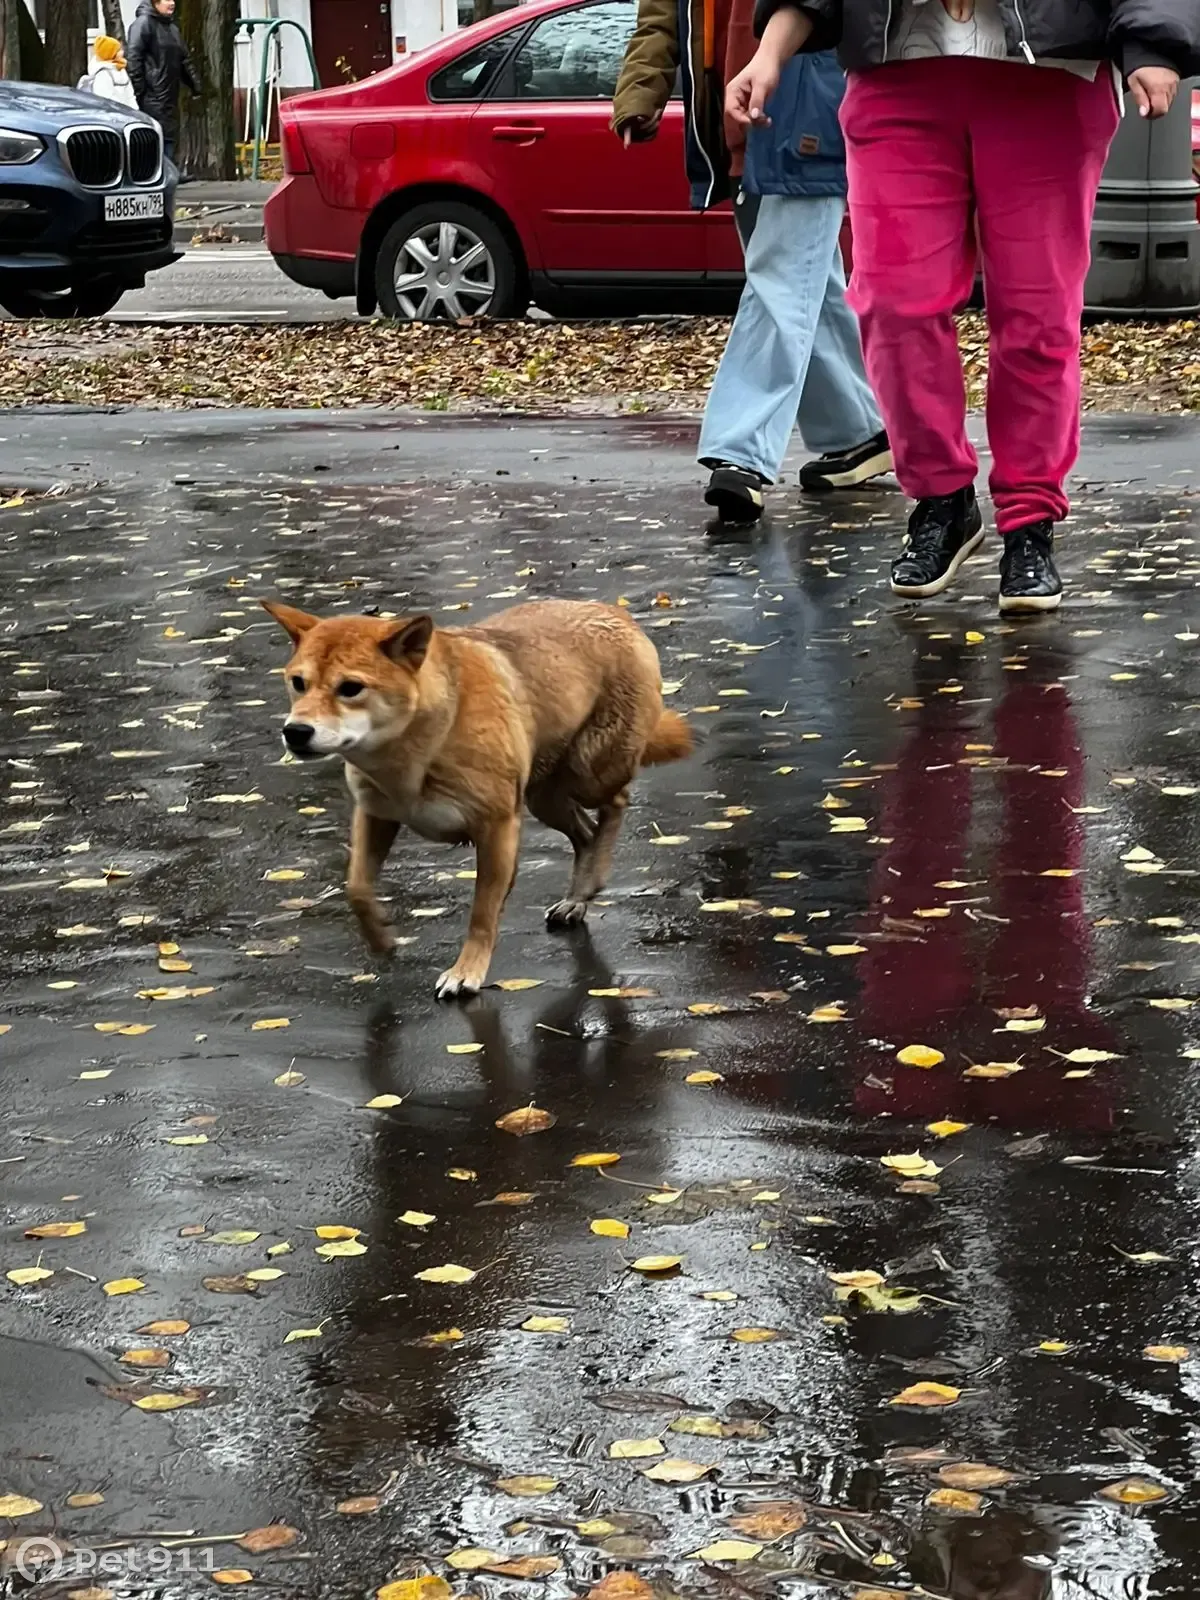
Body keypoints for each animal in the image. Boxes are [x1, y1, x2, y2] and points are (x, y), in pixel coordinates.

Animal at [262, 601, 694, 998]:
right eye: (298, 682)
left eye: (350, 688)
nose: (295, 731)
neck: (420, 741)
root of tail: (611, 610)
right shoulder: (376, 816)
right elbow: (357, 889)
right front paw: (381, 939)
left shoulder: (496, 830)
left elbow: (482, 915)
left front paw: (466, 971)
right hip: (543, 796)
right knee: (586, 832)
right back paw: (577, 897)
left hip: (589, 770)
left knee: (616, 803)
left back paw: (596, 877)